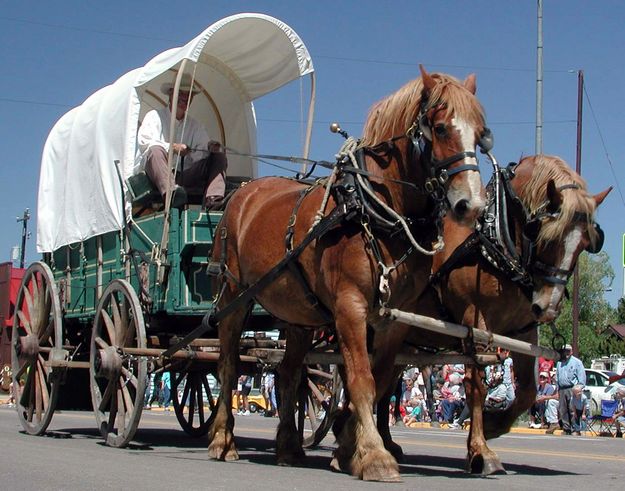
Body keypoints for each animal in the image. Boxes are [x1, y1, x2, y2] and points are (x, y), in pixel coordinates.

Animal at [207, 66, 490, 484]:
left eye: (482, 133)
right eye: (440, 128)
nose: (471, 205)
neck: (374, 208)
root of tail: (242, 193)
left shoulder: (394, 319)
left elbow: (381, 379)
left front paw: (348, 448)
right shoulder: (350, 308)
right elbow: (361, 380)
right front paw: (374, 456)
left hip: (298, 315)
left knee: (289, 372)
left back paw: (289, 447)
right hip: (232, 295)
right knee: (227, 364)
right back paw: (222, 440)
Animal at [370, 155, 608, 476]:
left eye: (586, 244)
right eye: (546, 236)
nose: (548, 307)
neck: (495, 241)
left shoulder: (522, 331)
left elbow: (528, 390)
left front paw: (496, 425)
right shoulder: (474, 320)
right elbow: (476, 386)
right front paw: (481, 451)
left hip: (401, 338)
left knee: (386, 385)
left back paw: (385, 440)